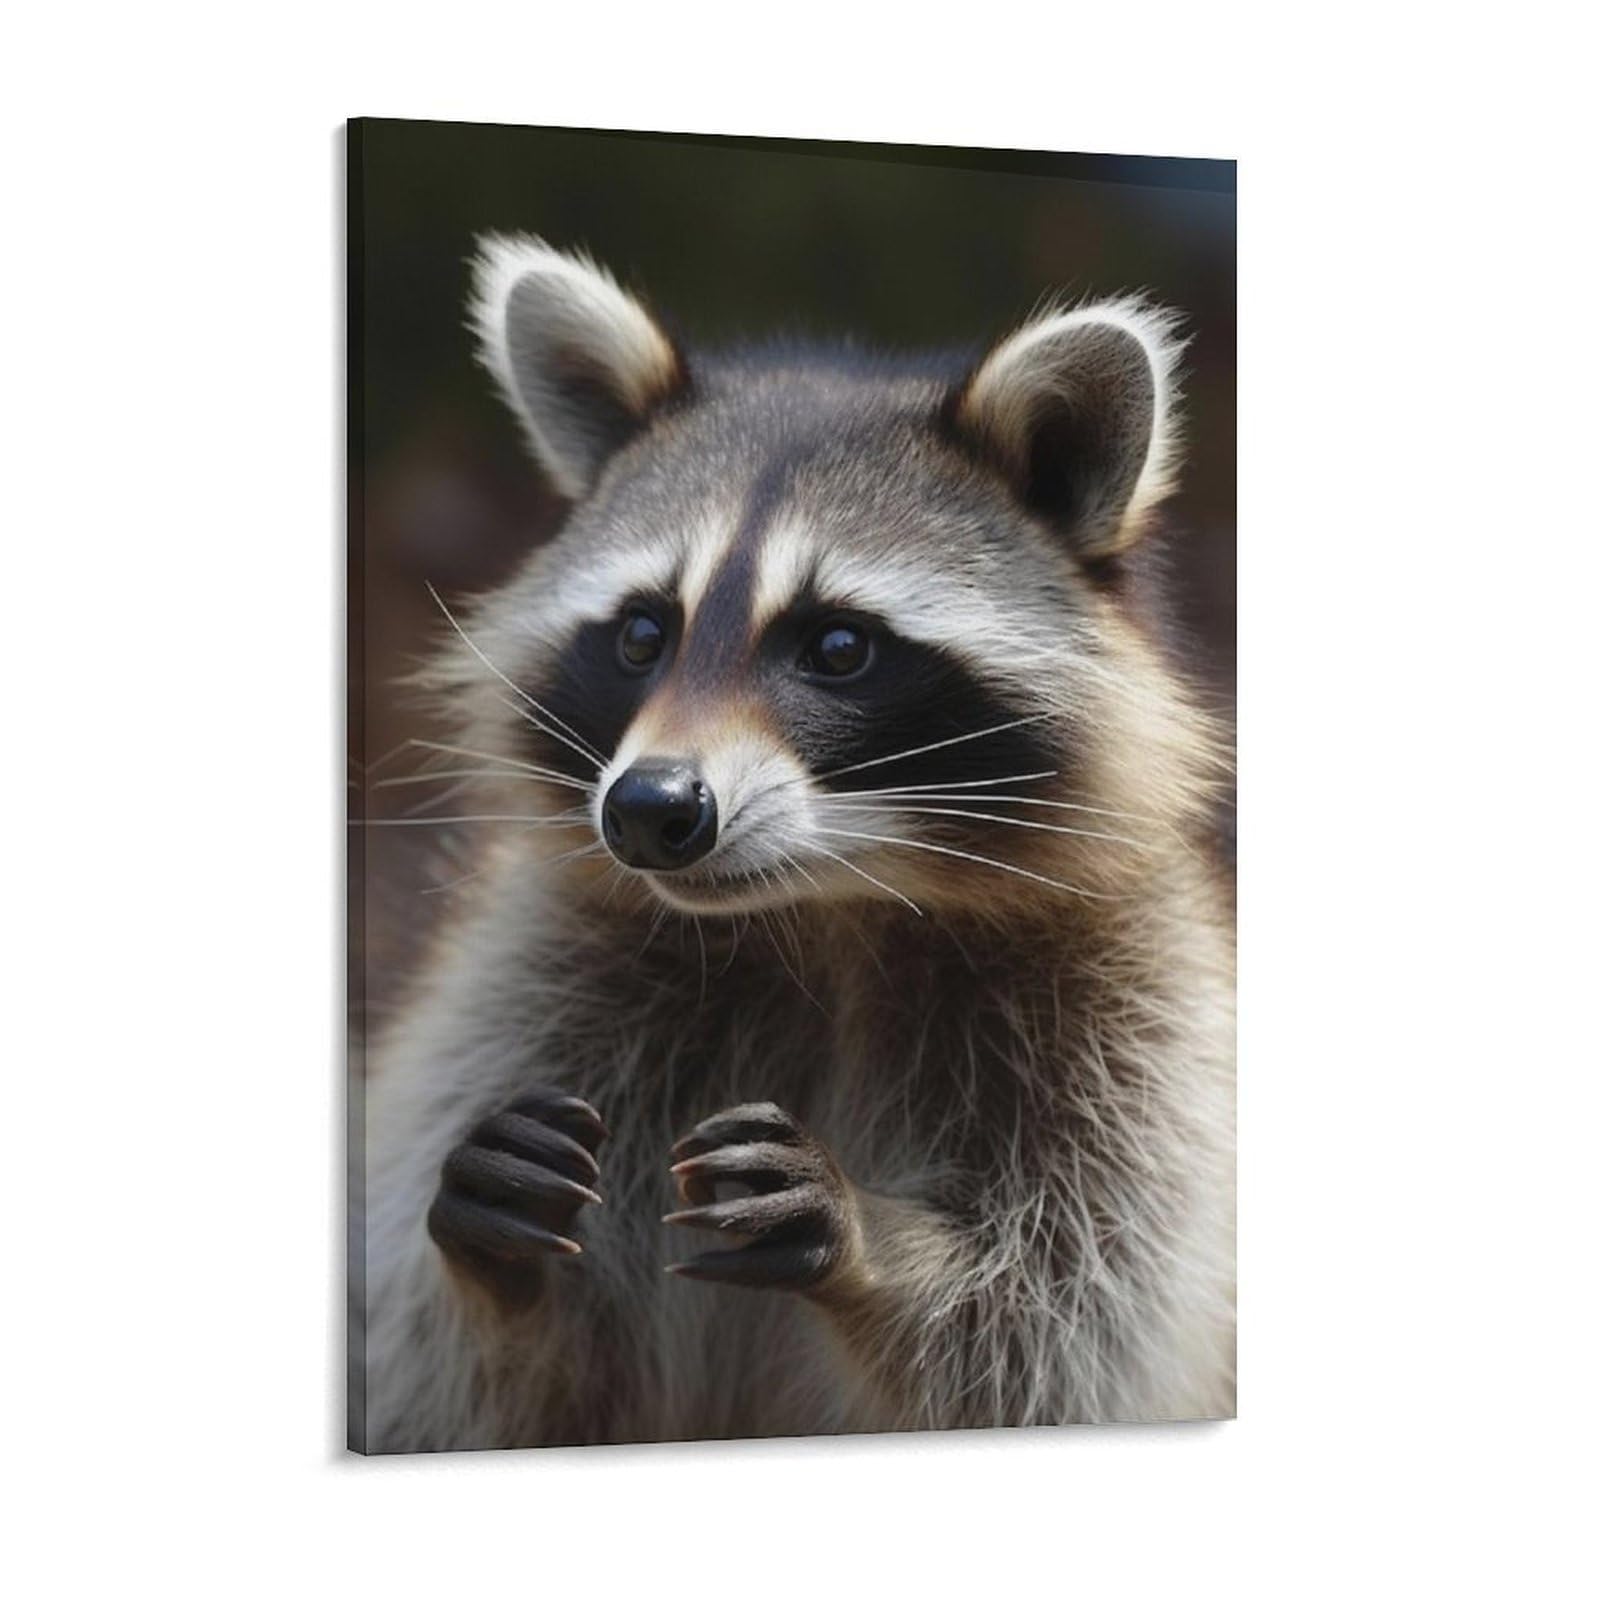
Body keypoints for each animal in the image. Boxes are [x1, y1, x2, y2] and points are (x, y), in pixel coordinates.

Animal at [353, 236, 1234, 1452]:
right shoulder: (540, 983)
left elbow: (1054, 1326)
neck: (822, 910)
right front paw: (499, 1274)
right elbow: (484, 1380)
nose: (648, 807)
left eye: (838, 647)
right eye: (642, 632)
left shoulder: (1133, 1031)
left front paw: (878, 1249)